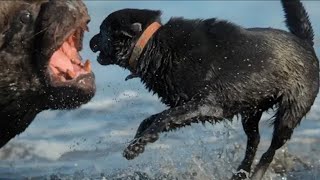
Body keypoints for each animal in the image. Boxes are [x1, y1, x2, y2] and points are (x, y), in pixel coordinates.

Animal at [90, 0, 318, 179]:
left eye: (101, 31)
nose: (90, 41)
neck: (153, 45)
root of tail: (306, 42)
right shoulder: (185, 104)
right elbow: (151, 119)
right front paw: (138, 141)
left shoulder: (206, 105)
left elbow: (163, 118)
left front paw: (138, 145)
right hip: (251, 108)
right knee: (254, 141)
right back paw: (240, 172)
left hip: (290, 112)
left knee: (270, 149)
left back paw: (256, 173)